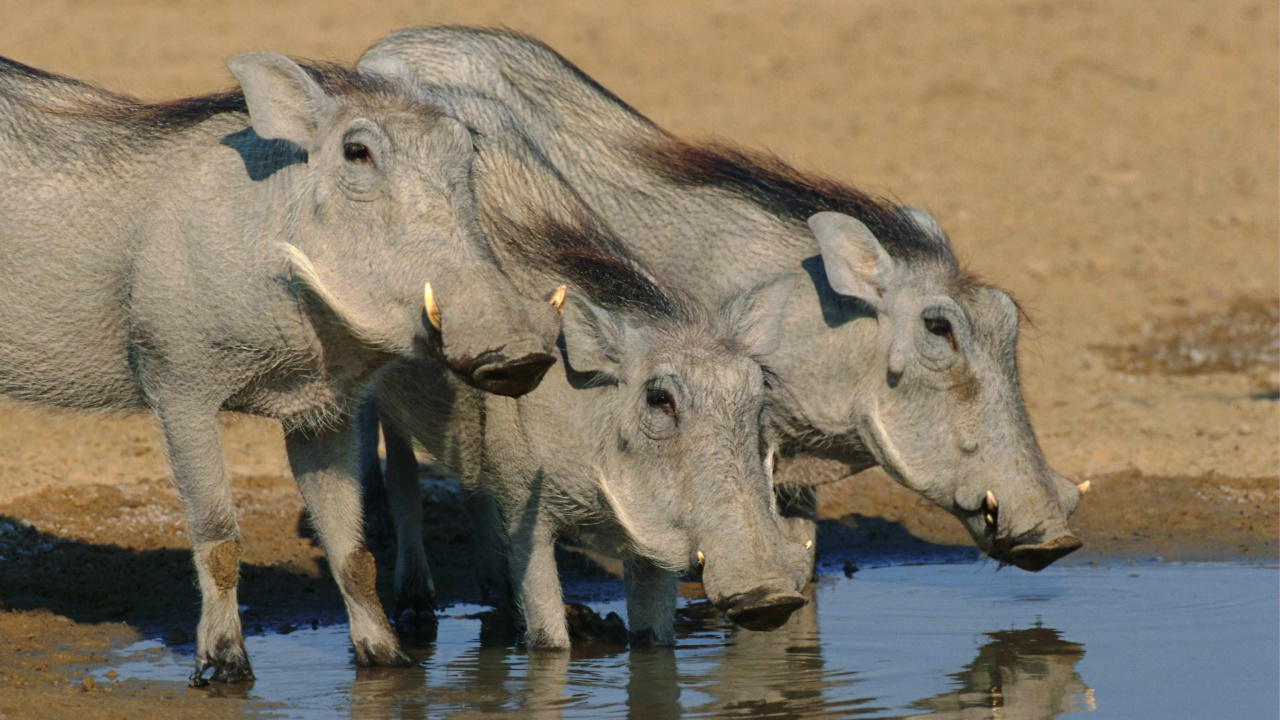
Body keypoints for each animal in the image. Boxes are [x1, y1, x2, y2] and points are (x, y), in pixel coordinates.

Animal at [0, 51, 565, 683]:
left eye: (465, 147)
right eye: (356, 152)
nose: (520, 355)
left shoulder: (322, 415)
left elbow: (352, 549)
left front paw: (386, 659)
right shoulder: (180, 392)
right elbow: (219, 538)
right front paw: (224, 668)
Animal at [359, 27, 1086, 579]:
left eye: (1008, 319)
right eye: (940, 330)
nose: (1056, 538)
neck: (808, 320)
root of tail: (391, 44)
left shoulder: (786, 467)